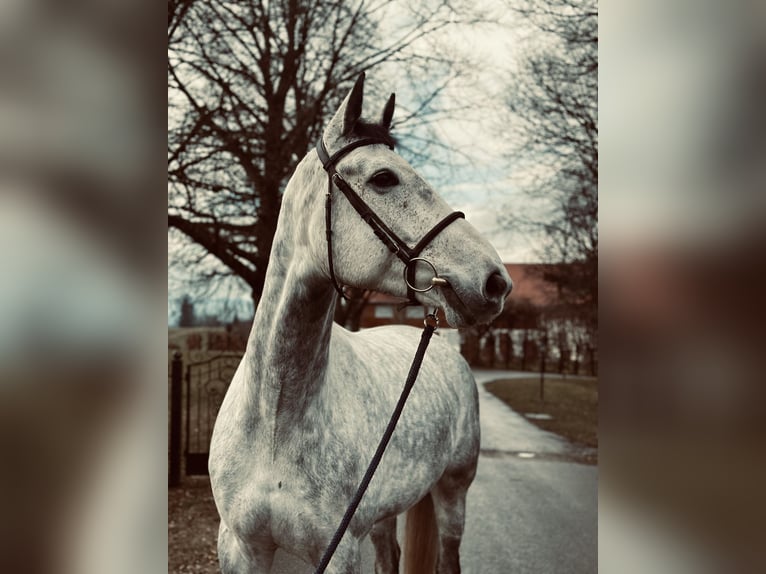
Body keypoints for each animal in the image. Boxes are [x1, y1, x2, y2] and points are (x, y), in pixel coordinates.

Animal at [207, 73, 512, 574]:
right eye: (383, 178)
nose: (495, 281)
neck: (275, 419)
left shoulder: (339, 550)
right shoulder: (240, 547)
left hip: (452, 492)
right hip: (385, 513)